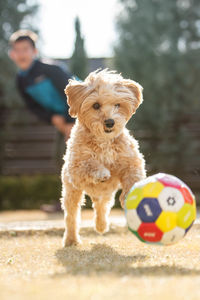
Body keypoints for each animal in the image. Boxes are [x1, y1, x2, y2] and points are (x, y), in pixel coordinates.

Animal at [60, 69, 146, 246]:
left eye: (117, 105)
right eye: (96, 105)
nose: (110, 122)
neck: (104, 141)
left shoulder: (132, 161)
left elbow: (133, 176)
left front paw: (128, 196)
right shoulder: (75, 168)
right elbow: (89, 164)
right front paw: (101, 172)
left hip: (105, 195)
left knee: (101, 208)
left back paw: (101, 226)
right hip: (71, 192)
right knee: (71, 216)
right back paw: (71, 239)